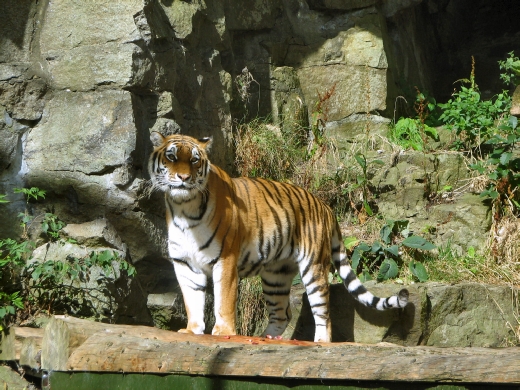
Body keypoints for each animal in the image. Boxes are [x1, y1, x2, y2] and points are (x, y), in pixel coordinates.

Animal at [148, 132, 408, 342]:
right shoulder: (184, 264)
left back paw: (319, 342)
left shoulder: (225, 259)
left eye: (194, 160)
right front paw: (192, 330)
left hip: (313, 267)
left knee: (323, 313)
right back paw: (268, 338)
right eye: (172, 157)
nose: (183, 178)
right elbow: (192, 300)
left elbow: (224, 299)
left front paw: (223, 332)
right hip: (276, 275)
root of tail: (326, 207)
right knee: (283, 313)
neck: (184, 208)